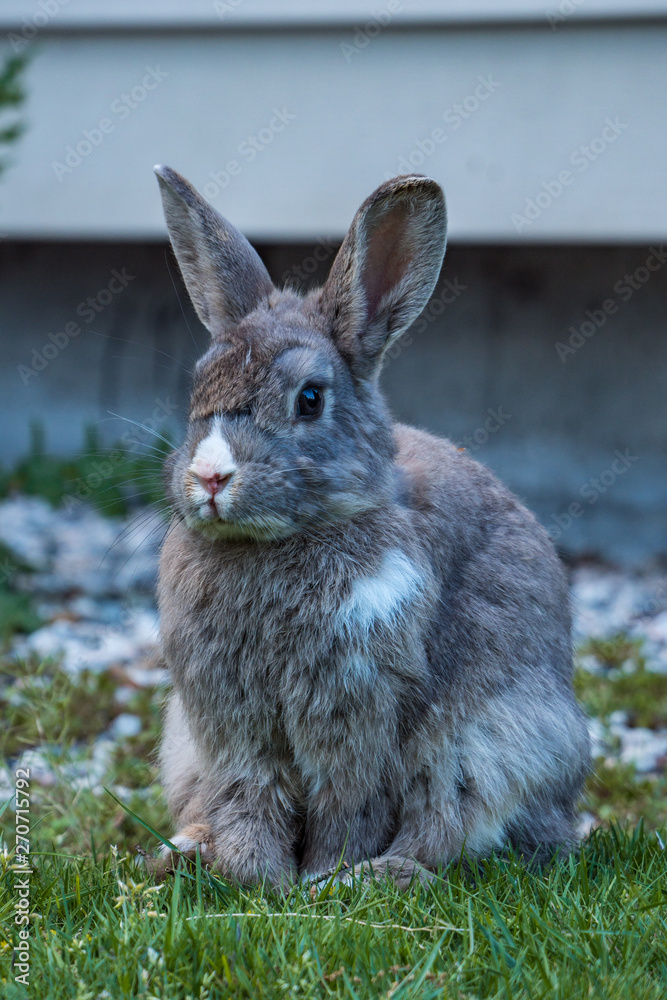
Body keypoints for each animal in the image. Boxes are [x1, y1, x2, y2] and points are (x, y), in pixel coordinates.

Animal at [152, 164, 591, 889]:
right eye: (197, 387)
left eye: (309, 399)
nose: (211, 476)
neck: (286, 538)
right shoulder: (232, 726)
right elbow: (250, 795)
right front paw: (254, 875)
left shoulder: (360, 714)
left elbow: (348, 803)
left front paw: (321, 880)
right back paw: (186, 849)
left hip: (487, 747)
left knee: (445, 828)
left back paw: (383, 875)